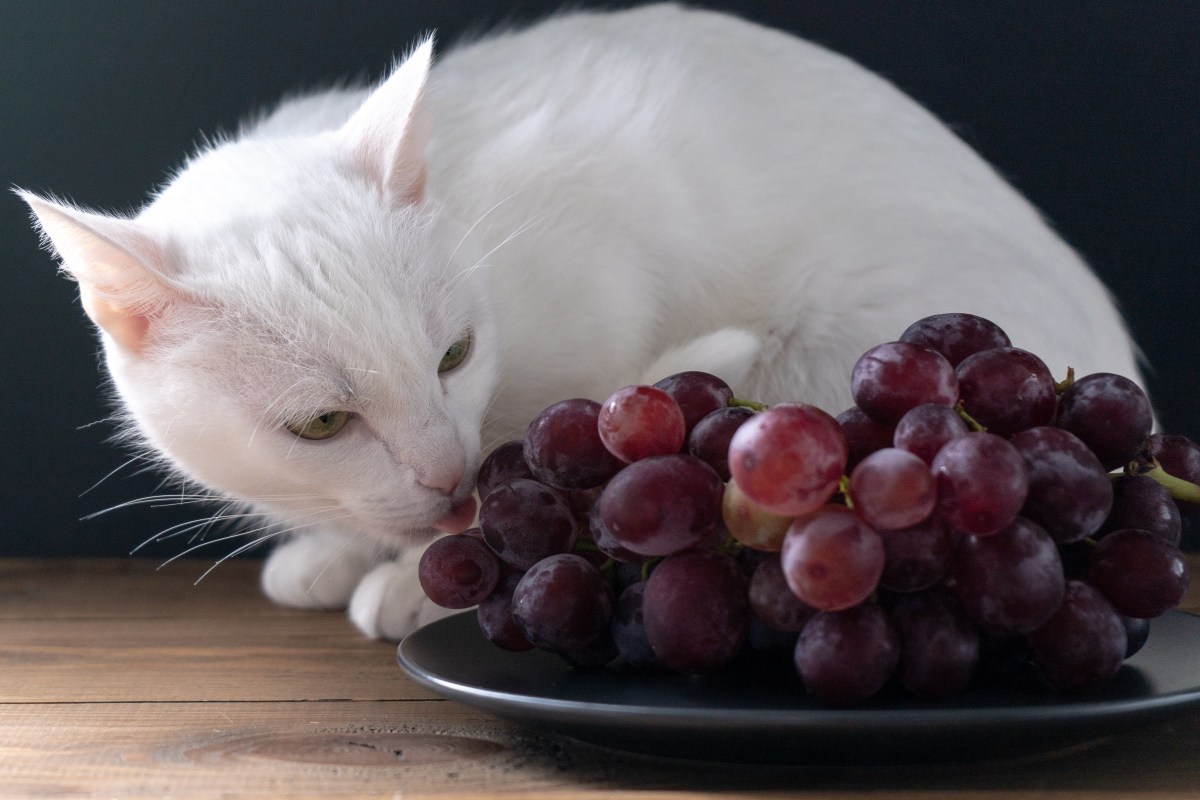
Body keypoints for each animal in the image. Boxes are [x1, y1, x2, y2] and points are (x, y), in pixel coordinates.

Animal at [21, 1, 1142, 638]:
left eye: (455, 354)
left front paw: (424, 582)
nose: (443, 474)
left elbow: (541, 470)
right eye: (322, 424)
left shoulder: (604, 292)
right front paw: (342, 553)